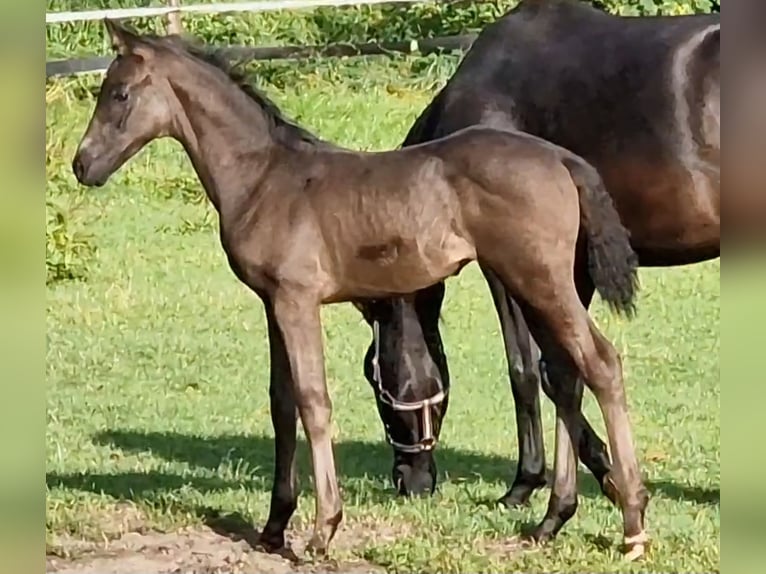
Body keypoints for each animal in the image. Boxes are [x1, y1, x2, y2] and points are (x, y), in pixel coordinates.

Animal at [70, 20, 648, 560]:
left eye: (119, 94)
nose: (82, 164)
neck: (263, 179)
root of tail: (562, 159)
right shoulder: (271, 304)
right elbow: (282, 404)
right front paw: (274, 526)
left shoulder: (297, 299)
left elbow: (313, 401)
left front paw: (323, 528)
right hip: (533, 285)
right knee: (567, 376)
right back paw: (554, 519)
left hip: (539, 279)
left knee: (601, 363)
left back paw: (633, 523)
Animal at [368, 0, 728, 528]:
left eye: (374, 380)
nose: (406, 481)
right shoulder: (571, 270)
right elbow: (565, 368)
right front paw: (606, 478)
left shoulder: (505, 264)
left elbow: (527, 368)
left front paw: (529, 483)